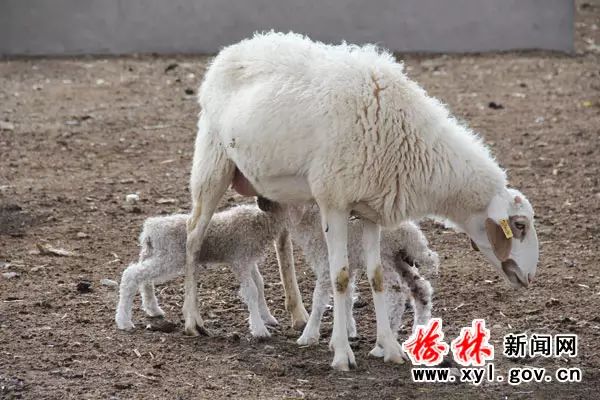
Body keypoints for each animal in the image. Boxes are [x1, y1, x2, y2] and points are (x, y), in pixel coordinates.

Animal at [183, 31, 540, 372]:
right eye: (519, 225)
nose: (529, 277)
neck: (411, 141)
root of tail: (234, 48)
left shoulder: (370, 210)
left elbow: (376, 276)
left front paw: (390, 349)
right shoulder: (334, 203)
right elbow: (340, 277)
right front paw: (342, 354)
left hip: (274, 186)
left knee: (281, 241)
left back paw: (297, 313)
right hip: (213, 161)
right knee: (193, 235)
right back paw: (193, 319)